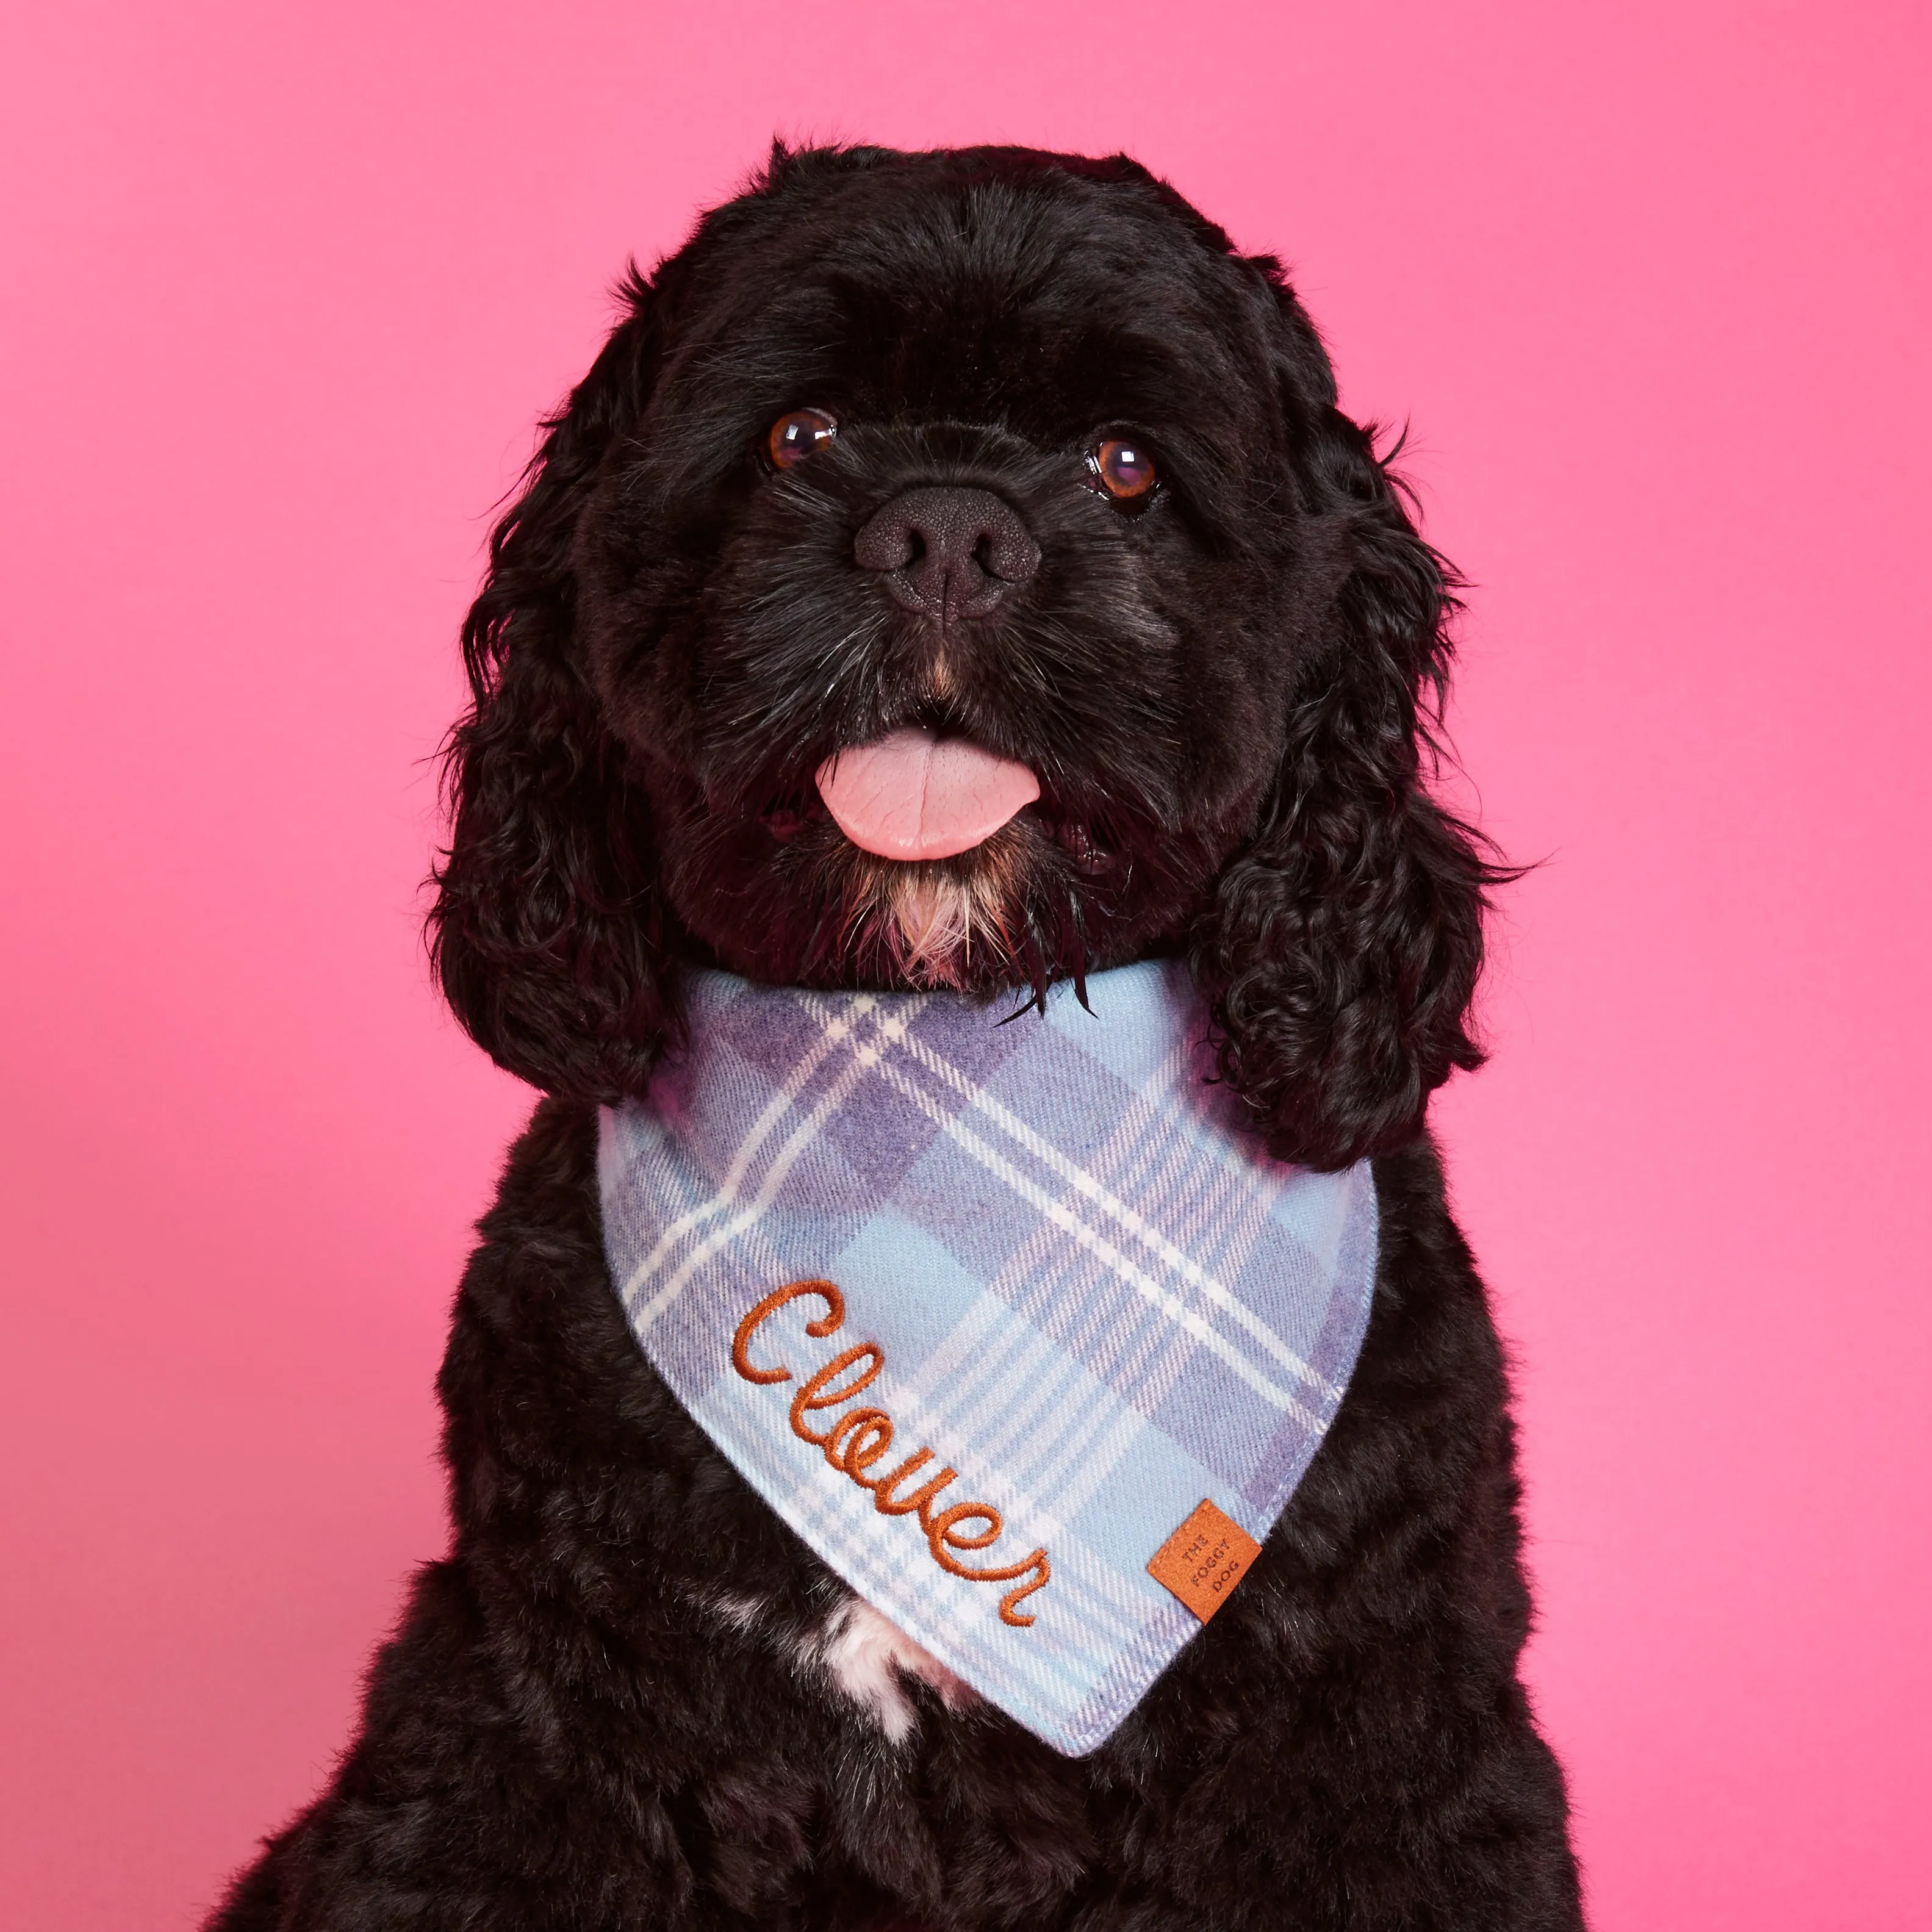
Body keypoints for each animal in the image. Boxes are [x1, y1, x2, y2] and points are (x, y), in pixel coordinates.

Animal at [215, 143, 1584, 1924]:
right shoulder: (529, 1713)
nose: (948, 528)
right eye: (801, 435)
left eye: (1123, 463)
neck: (934, 1065)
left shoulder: (1381, 1743)